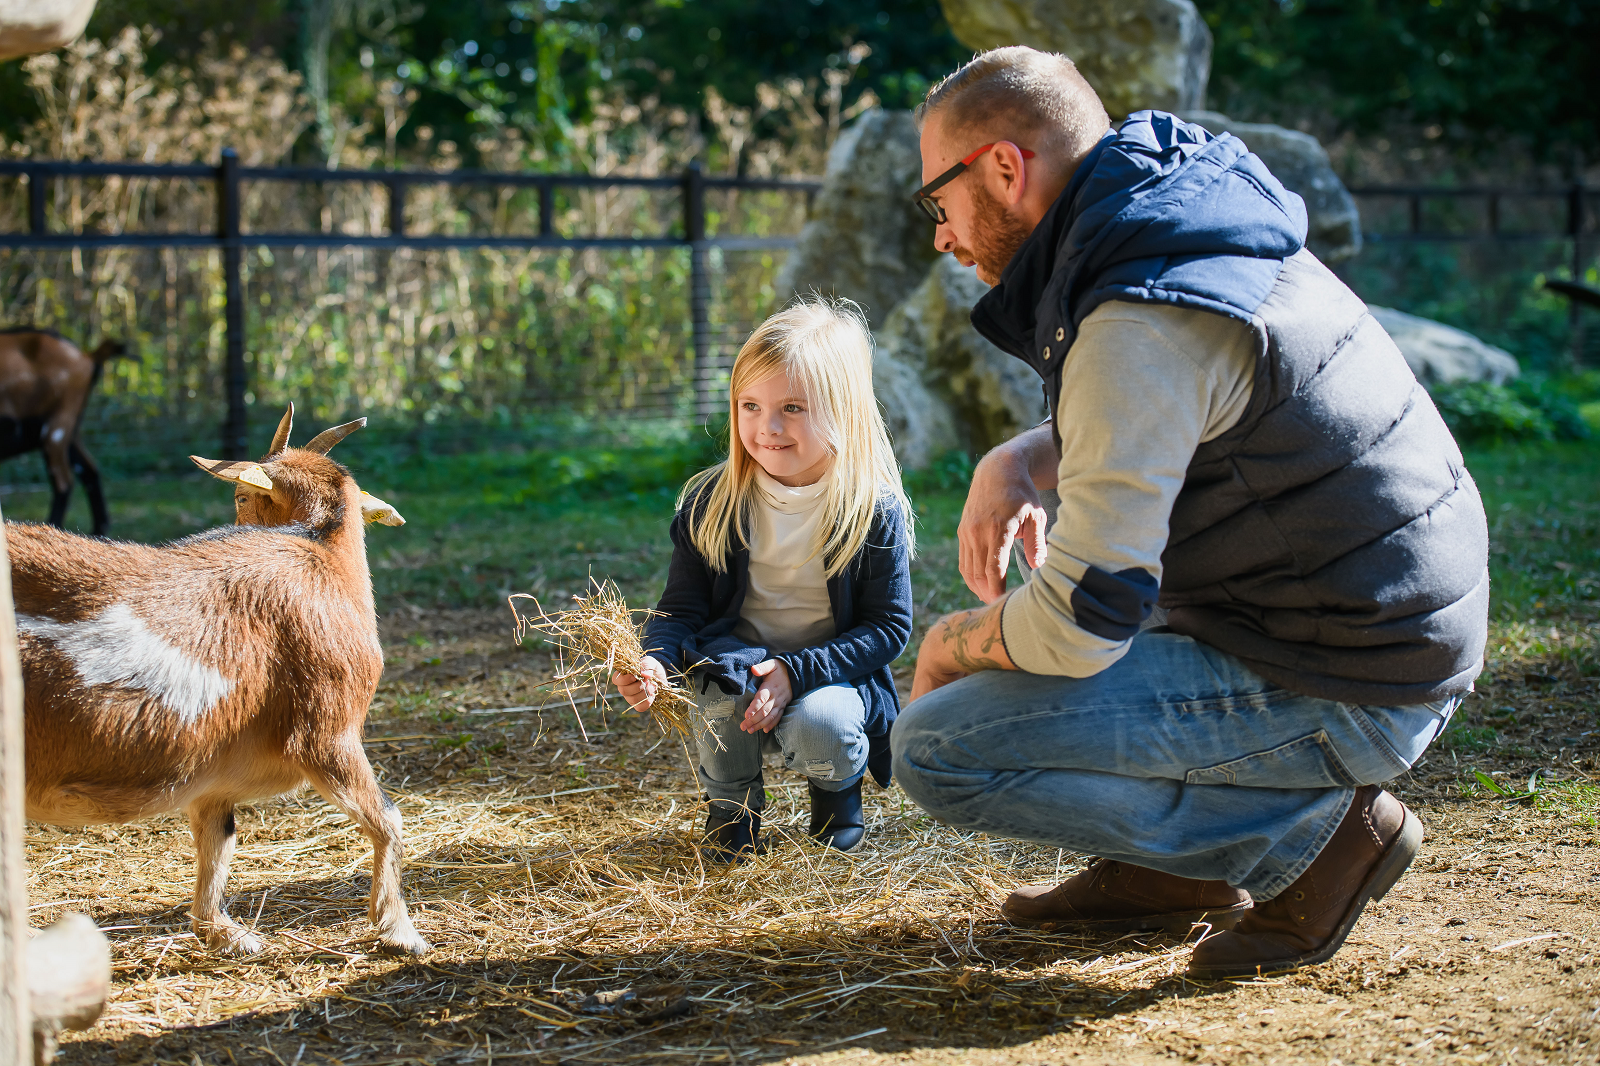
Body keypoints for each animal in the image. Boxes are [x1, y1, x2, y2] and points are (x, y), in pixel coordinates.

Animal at [0, 326, 132, 531]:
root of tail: (87, 356)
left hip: (57, 425)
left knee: (64, 483)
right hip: (69, 431)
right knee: (89, 471)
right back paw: (97, 531)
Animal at [6, 403, 428, 947]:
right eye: (240, 495)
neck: (323, 558)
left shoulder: (210, 771)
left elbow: (218, 839)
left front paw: (224, 933)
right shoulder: (326, 732)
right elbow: (388, 819)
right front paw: (400, 930)